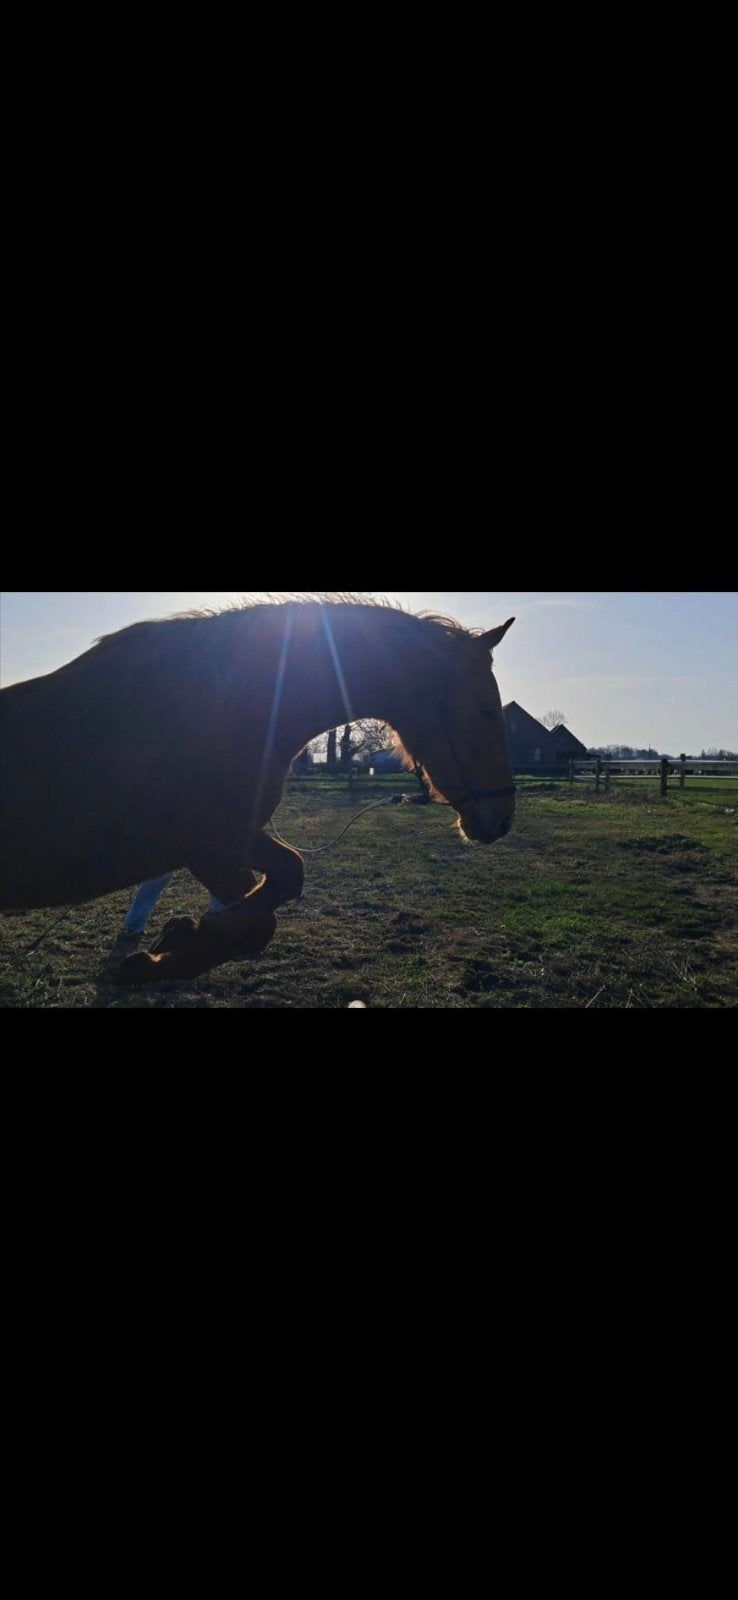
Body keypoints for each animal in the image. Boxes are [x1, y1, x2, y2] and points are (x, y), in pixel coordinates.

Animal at [0, 597, 516, 983]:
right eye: (486, 709)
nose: (502, 819)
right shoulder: (213, 844)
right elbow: (281, 888)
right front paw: (171, 945)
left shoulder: (223, 846)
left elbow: (267, 910)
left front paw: (176, 942)